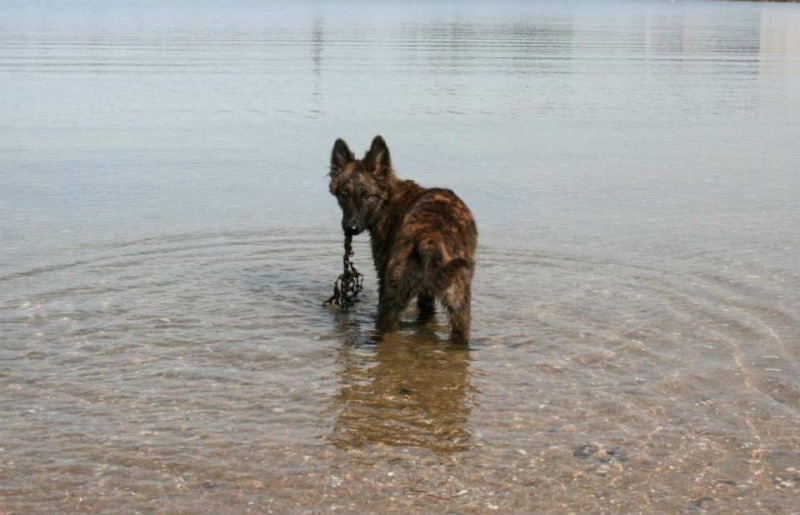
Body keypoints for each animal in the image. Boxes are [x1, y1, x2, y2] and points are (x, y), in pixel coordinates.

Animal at [330, 135, 478, 344]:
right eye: (344, 194)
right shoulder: (426, 294)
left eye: (367, 196)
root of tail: (430, 236)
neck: (387, 200)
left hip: (391, 296)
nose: (351, 227)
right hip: (459, 303)